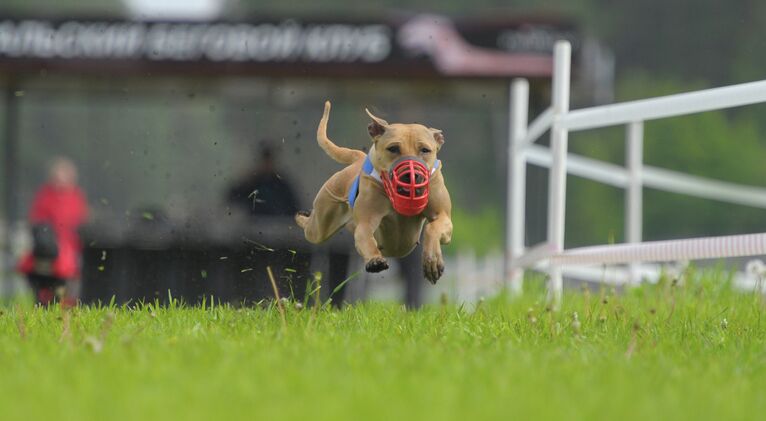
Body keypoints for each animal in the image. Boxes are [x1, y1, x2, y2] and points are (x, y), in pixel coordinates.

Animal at [296, 101, 452, 282]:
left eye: (425, 150)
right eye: (393, 148)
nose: (411, 175)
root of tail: (358, 158)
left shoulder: (443, 216)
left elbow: (432, 228)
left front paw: (432, 260)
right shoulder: (366, 221)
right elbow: (365, 235)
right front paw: (375, 260)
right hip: (321, 222)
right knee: (312, 228)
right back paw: (302, 216)